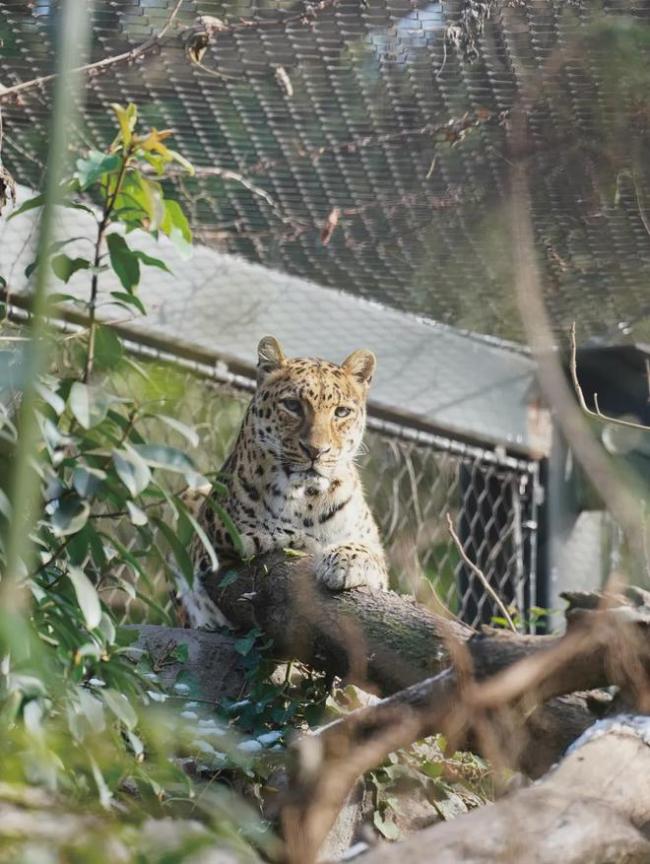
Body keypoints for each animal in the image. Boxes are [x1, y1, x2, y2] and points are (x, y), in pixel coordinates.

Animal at [180, 332, 388, 628]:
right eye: (292, 405)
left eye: (341, 412)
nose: (316, 451)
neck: (308, 498)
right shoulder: (213, 532)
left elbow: (369, 552)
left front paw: (346, 561)